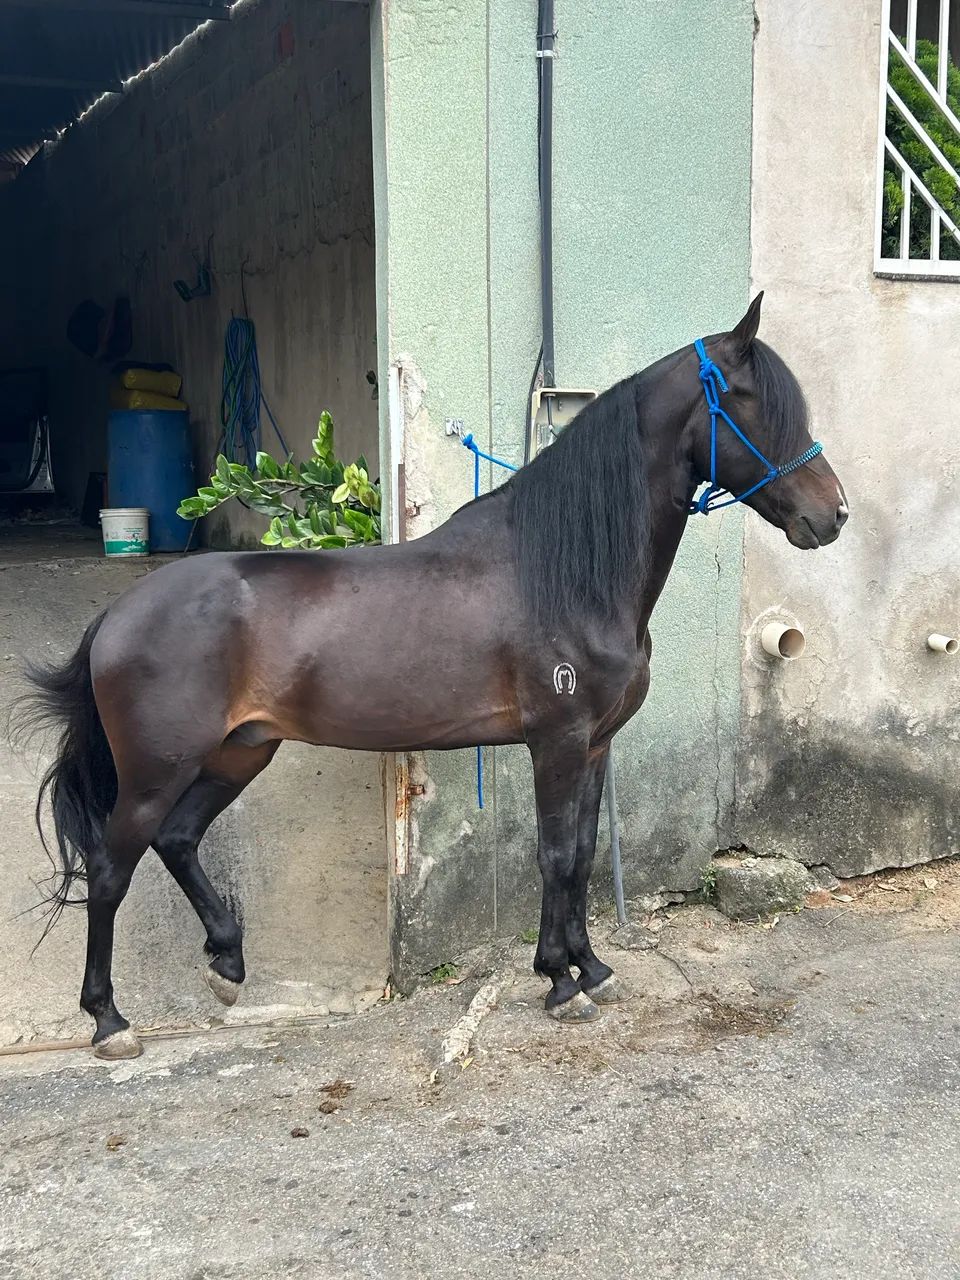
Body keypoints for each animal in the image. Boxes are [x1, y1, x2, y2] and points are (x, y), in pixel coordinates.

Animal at [14, 293, 848, 1059]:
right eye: (750, 402)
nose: (832, 516)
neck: (563, 571)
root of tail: (118, 616)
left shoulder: (594, 745)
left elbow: (580, 856)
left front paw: (592, 968)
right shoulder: (557, 740)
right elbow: (554, 856)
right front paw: (559, 982)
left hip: (239, 751)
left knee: (179, 839)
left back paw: (227, 963)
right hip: (156, 769)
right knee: (110, 869)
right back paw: (110, 1021)